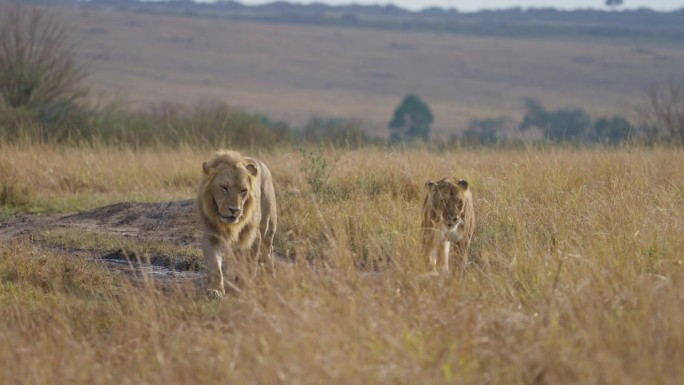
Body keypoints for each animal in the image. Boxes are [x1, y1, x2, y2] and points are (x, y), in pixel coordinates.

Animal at [196, 148, 276, 296]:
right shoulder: (210, 235)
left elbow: (250, 265)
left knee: (268, 251)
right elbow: (214, 266)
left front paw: (247, 287)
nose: (234, 210)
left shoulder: (253, 236)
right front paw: (215, 290)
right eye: (224, 187)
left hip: (268, 228)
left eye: (243, 190)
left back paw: (270, 277)